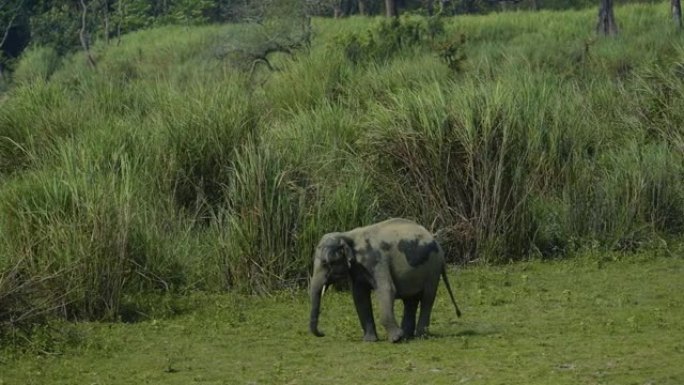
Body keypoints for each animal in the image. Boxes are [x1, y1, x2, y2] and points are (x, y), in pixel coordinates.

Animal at [308, 218, 460, 340]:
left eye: (327, 263)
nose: (323, 333)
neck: (347, 236)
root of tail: (438, 244)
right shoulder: (356, 268)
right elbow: (359, 296)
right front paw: (370, 341)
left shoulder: (376, 260)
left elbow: (386, 289)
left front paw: (396, 339)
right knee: (410, 300)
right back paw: (407, 336)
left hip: (432, 269)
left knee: (427, 298)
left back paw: (419, 336)